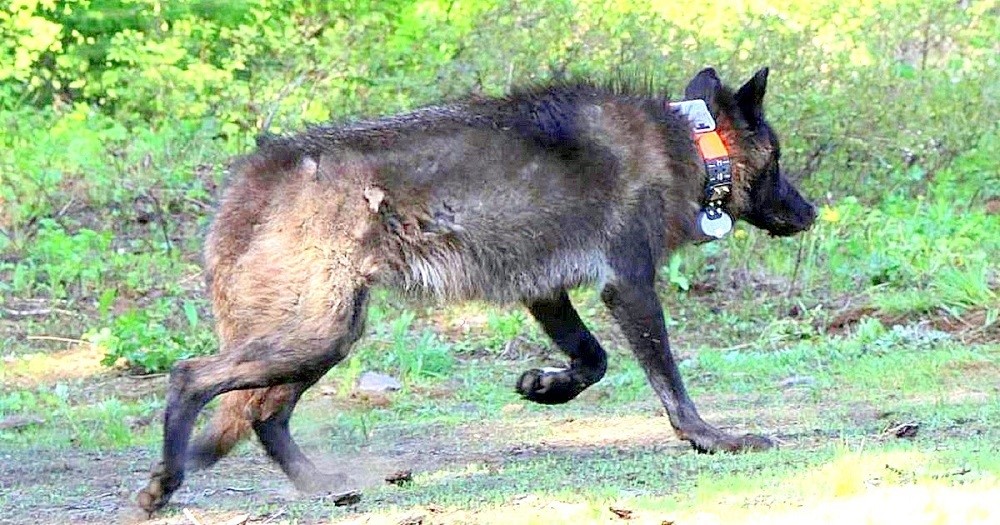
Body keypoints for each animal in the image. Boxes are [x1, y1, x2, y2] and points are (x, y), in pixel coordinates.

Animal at [137, 67, 816, 513]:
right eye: (781, 161)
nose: (810, 213)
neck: (693, 145)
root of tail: (253, 175)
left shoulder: (546, 292)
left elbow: (592, 361)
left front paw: (544, 387)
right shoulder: (628, 288)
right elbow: (670, 385)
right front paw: (712, 440)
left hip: (326, 338)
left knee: (263, 414)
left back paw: (319, 486)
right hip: (316, 336)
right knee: (192, 378)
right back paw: (167, 482)